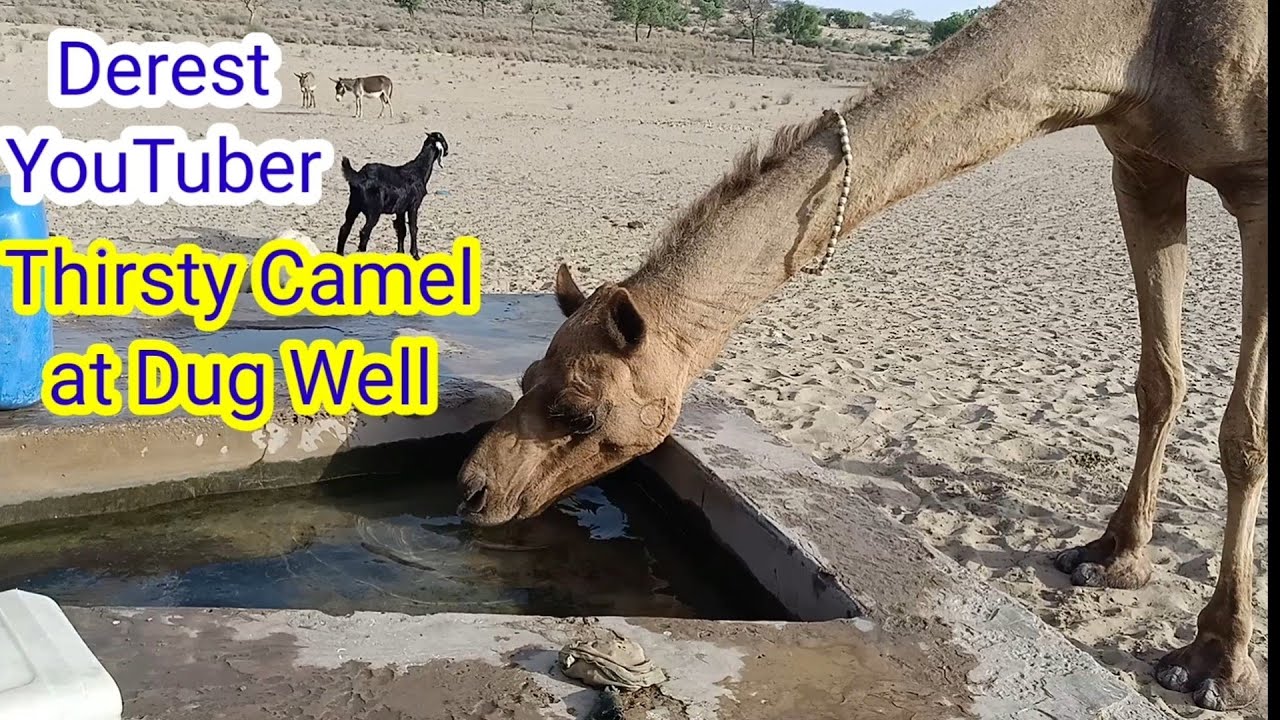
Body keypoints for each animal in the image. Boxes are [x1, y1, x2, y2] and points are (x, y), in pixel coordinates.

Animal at [456, 0, 1267, 710]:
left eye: (582, 413)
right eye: (526, 377)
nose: (471, 490)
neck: (1139, 44)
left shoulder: (1257, 186)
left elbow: (1244, 436)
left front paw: (1215, 661)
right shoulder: (1140, 160)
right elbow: (1159, 380)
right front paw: (1112, 558)